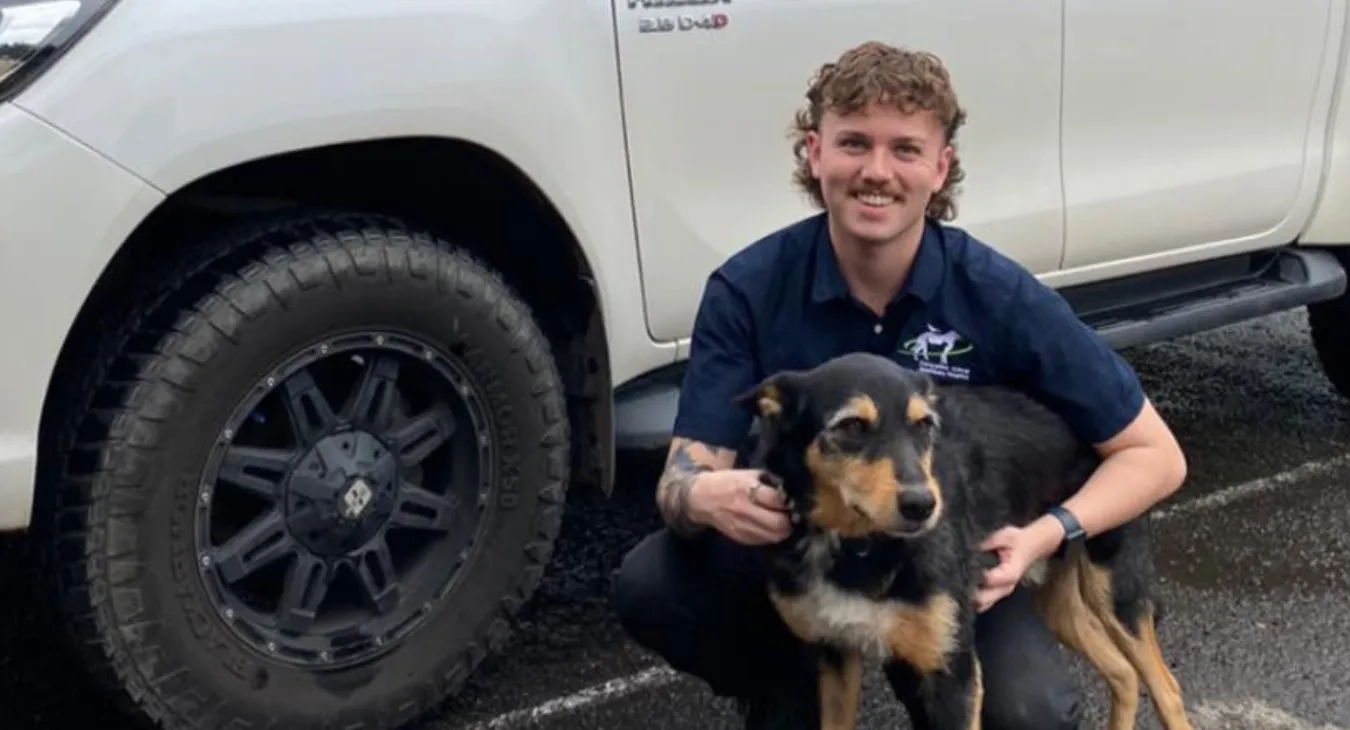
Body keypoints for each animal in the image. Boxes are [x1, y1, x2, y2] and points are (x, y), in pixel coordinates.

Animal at [739, 350, 1193, 723]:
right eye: (851, 425)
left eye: (924, 425)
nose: (922, 505)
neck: (857, 544)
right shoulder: (835, 657)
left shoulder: (952, 672)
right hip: (1060, 603)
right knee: (1124, 675)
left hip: (1114, 590)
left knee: (1166, 688)